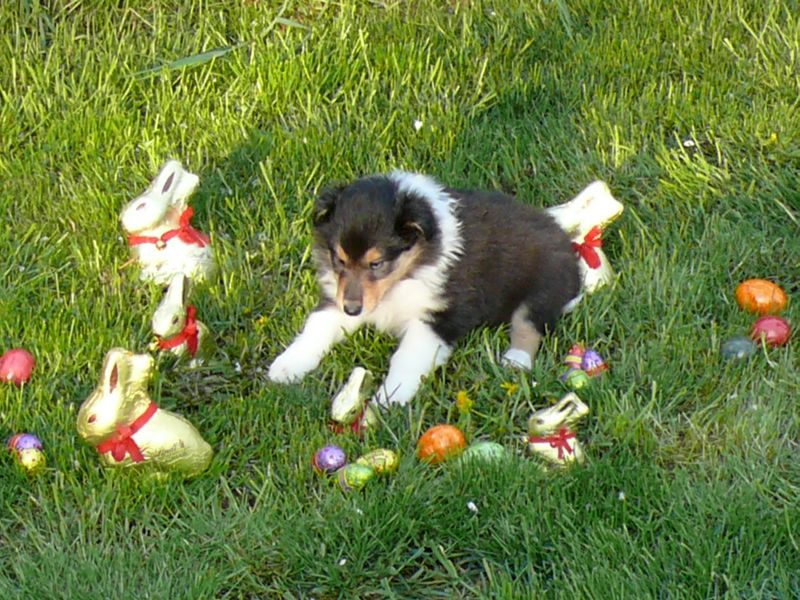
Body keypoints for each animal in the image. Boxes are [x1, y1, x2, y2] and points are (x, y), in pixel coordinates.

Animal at [268, 171, 581, 406]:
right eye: (339, 259)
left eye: (376, 263)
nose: (353, 309)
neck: (405, 274)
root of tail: (561, 233)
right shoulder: (339, 299)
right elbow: (316, 328)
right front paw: (286, 366)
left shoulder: (437, 317)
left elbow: (407, 358)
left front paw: (388, 400)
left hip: (545, 283)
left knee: (529, 323)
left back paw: (515, 361)